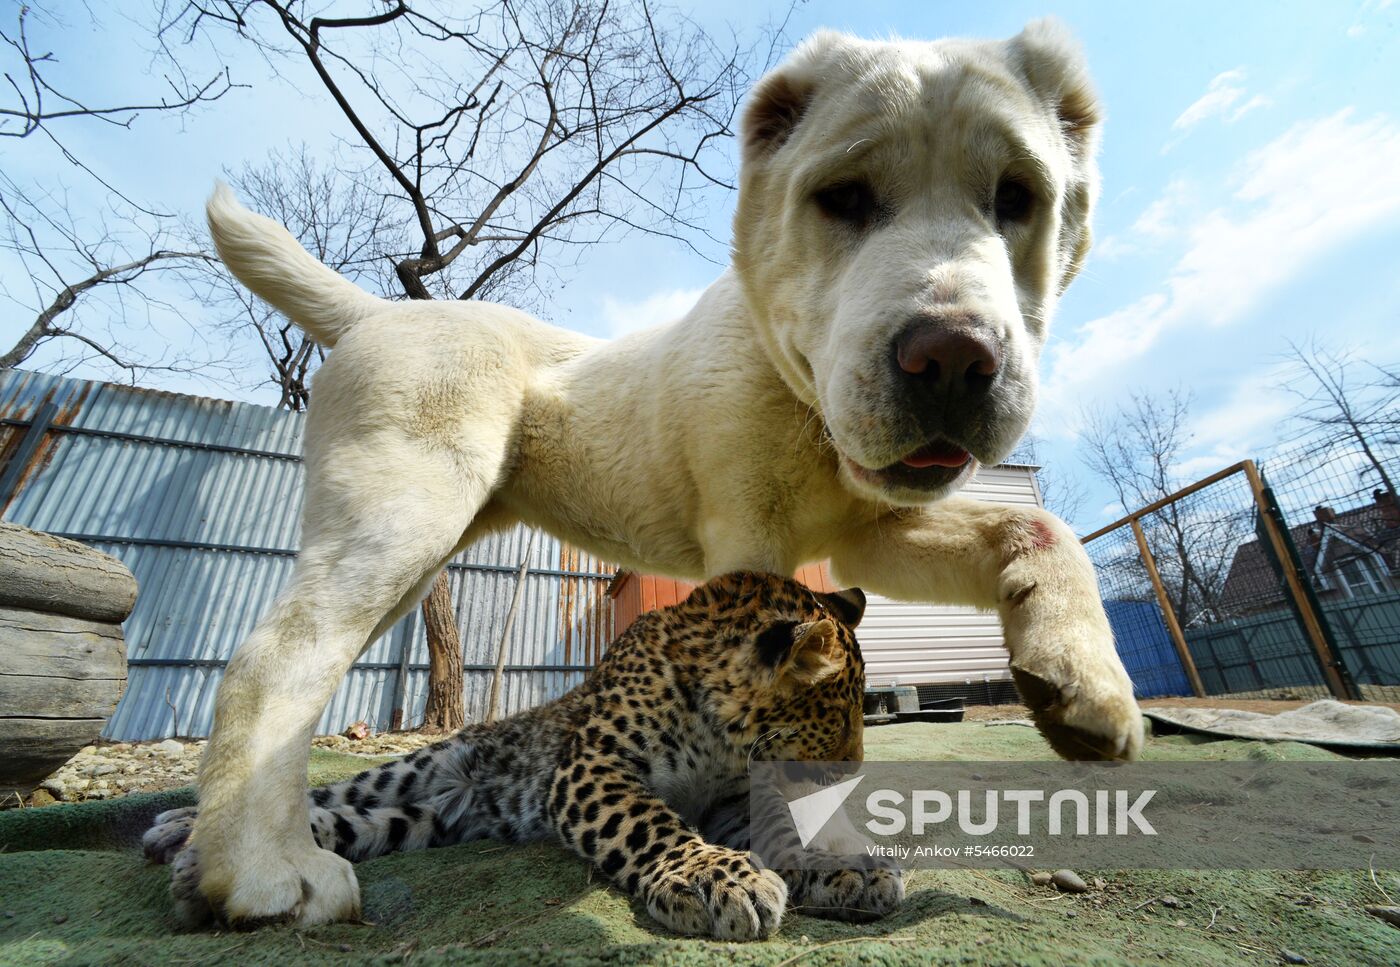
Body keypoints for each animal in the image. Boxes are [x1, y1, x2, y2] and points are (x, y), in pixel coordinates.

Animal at [189, 20, 1136, 929]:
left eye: (1018, 198)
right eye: (842, 199)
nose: (950, 360)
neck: (800, 398)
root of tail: (381, 314)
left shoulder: (873, 530)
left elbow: (1036, 523)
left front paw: (1085, 688)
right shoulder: (750, 537)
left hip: (412, 552)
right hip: (399, 520)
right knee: (270, 663)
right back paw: (265, 869)